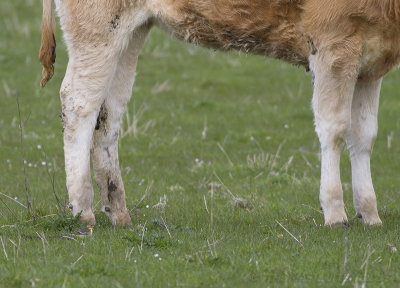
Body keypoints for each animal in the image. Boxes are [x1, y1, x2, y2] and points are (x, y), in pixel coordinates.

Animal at [38, 0, 400, 228]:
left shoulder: (370, 64)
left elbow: (363, 136)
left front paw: (370, 214)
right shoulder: (335, 46)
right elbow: (334, 129)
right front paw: (335, 212)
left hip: (131, 32)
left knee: (108, 116)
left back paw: (119, 212)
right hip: (97, 27)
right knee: (78, 103)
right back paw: (83, 210)